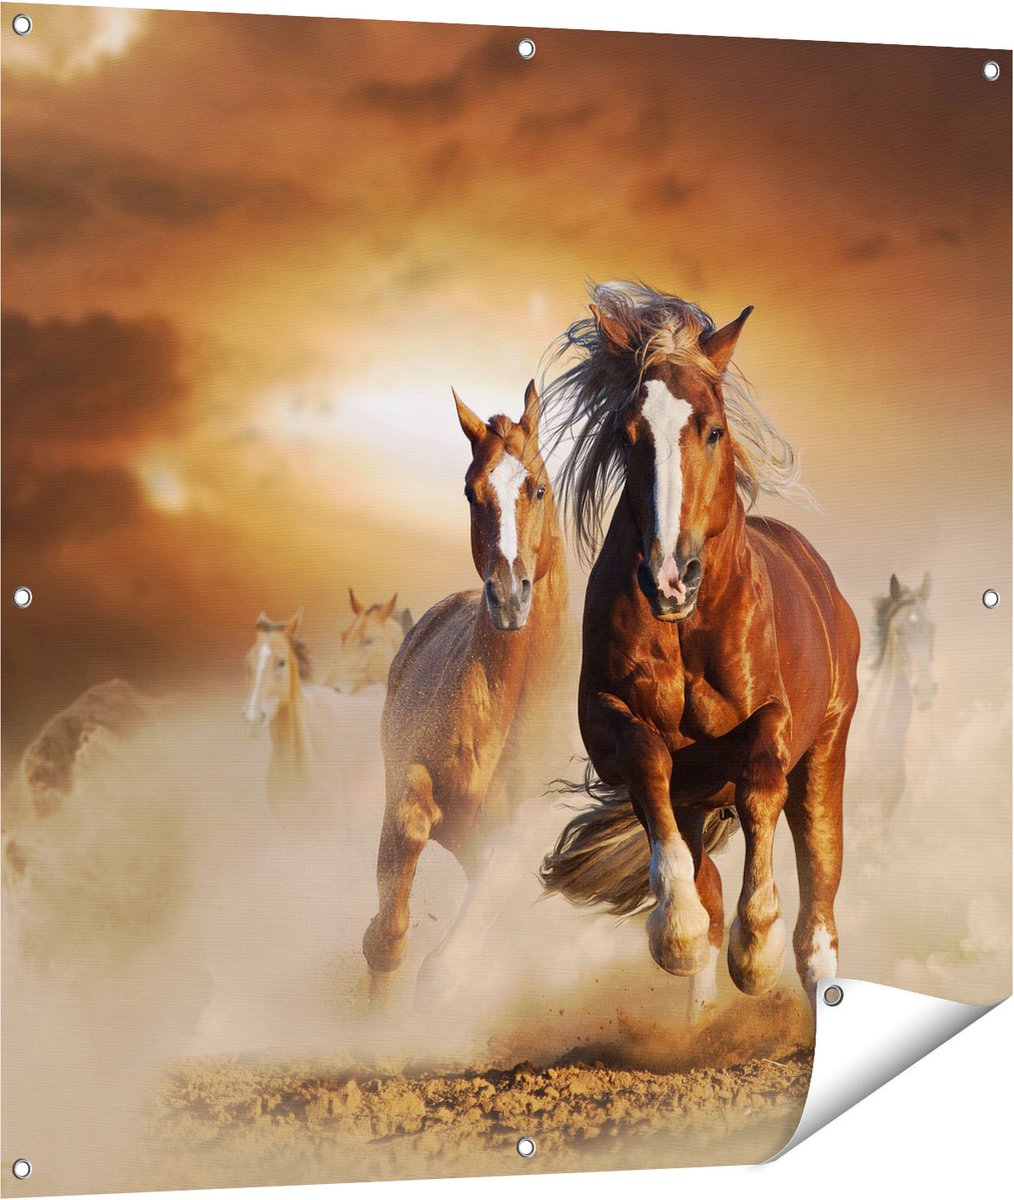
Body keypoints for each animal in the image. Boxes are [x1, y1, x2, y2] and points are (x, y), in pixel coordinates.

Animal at [362, 381, 572, 1008]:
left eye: (538, 487)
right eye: (471, 492)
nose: (508, 596)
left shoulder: (519, 836)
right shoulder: (412, 782)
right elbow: (407, 832)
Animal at [539, 282, 860, 1019]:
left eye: (712, 429)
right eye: (628, 435)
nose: (669, 577)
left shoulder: (774, 721)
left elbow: (761, 782)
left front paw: (757, 949)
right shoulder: (610, 723)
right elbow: (649, 764)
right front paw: (678, 933)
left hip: (826, 754)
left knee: (819, 907)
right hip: (697, 801)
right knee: (705, 872)